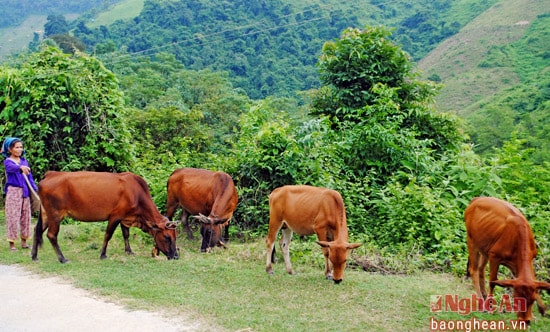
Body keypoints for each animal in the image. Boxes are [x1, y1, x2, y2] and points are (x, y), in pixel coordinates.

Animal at [31, 172, 178, 264]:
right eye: (167, 237)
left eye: (175, 237)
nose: (176, 256)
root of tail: (51, 174)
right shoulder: (115, 216)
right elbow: (108, 235)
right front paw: (103, 254)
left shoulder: (125, 218)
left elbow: (126, 234)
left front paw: (129, 251)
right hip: (55, 215)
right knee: (51, 235)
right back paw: (62, 258)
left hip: (46, 214)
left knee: (36, 230)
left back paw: (34, 256)